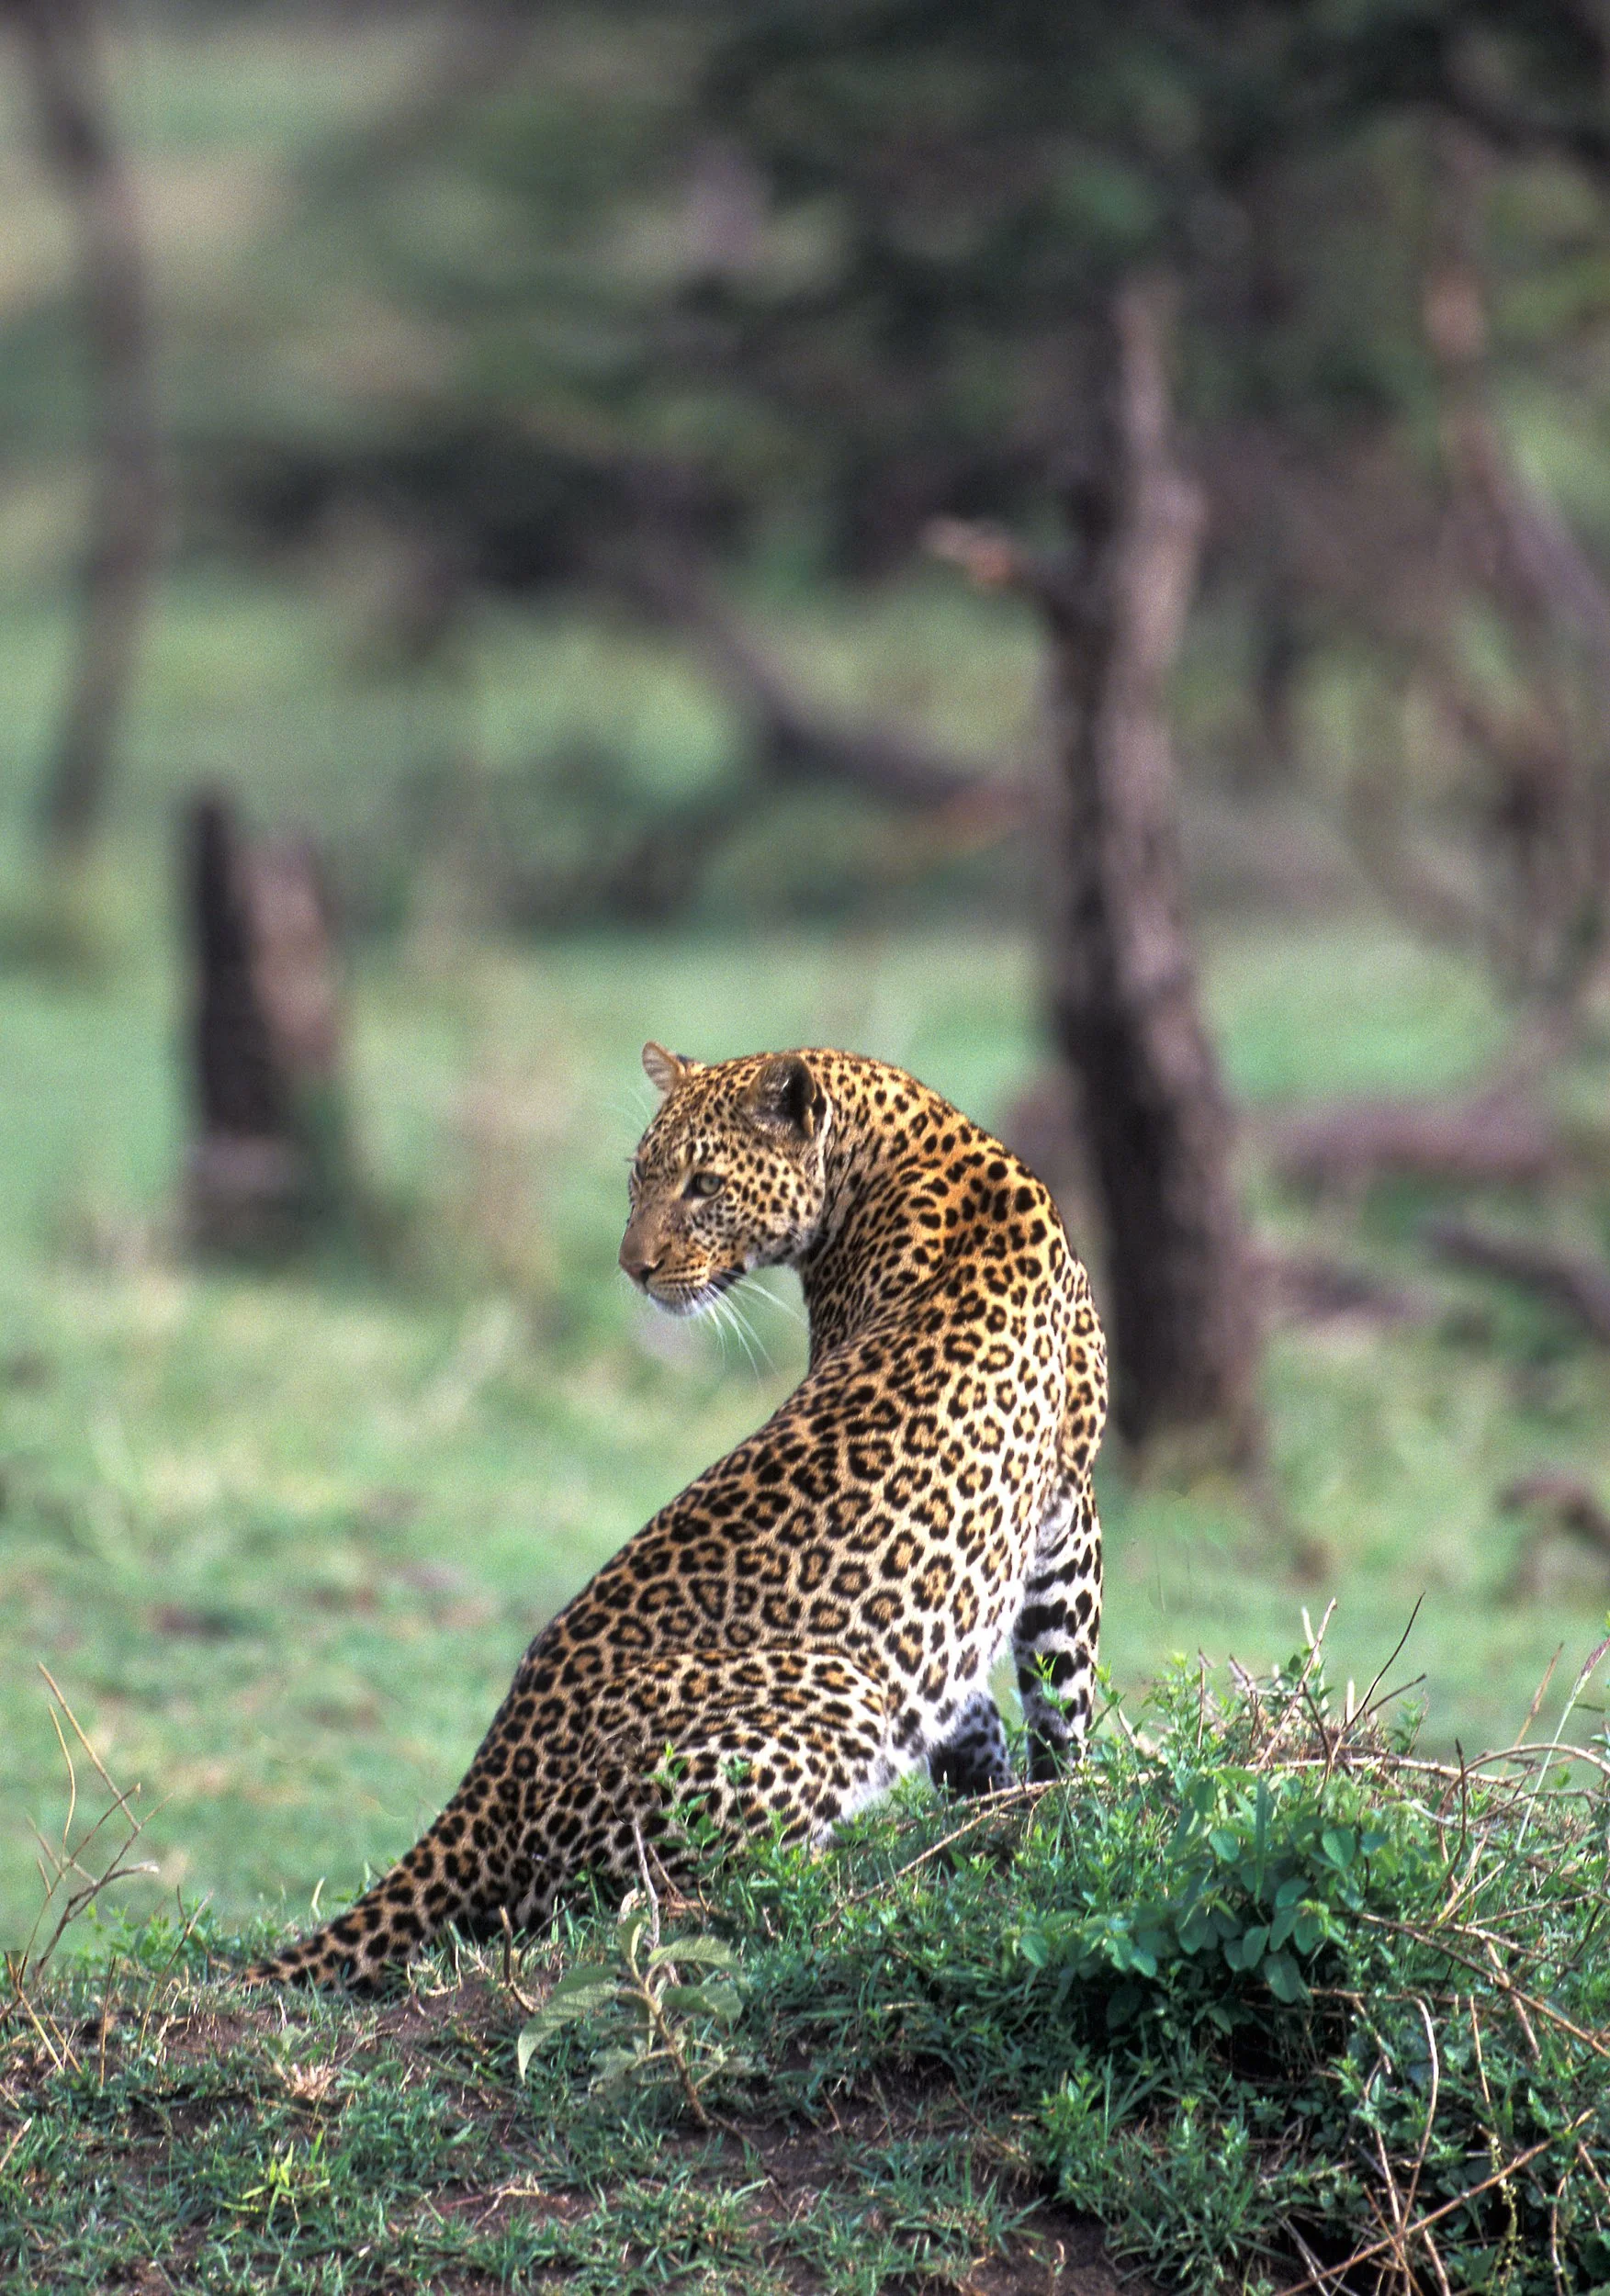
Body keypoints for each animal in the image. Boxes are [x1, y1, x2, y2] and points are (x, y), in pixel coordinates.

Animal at [247, 1040, 1106, 1985]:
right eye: (639, 1178)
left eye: (702, 1184)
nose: (633, 1266)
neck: (901, 1142)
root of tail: (487, 1778)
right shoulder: (1065, 1507)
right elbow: (1058, 1684)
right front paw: (1058, 1808)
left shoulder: (1052, 1518)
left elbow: (1005, 1696)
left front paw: (1004, 1807)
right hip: (836, 1692)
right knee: (645, 1894)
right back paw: (842, 1883)